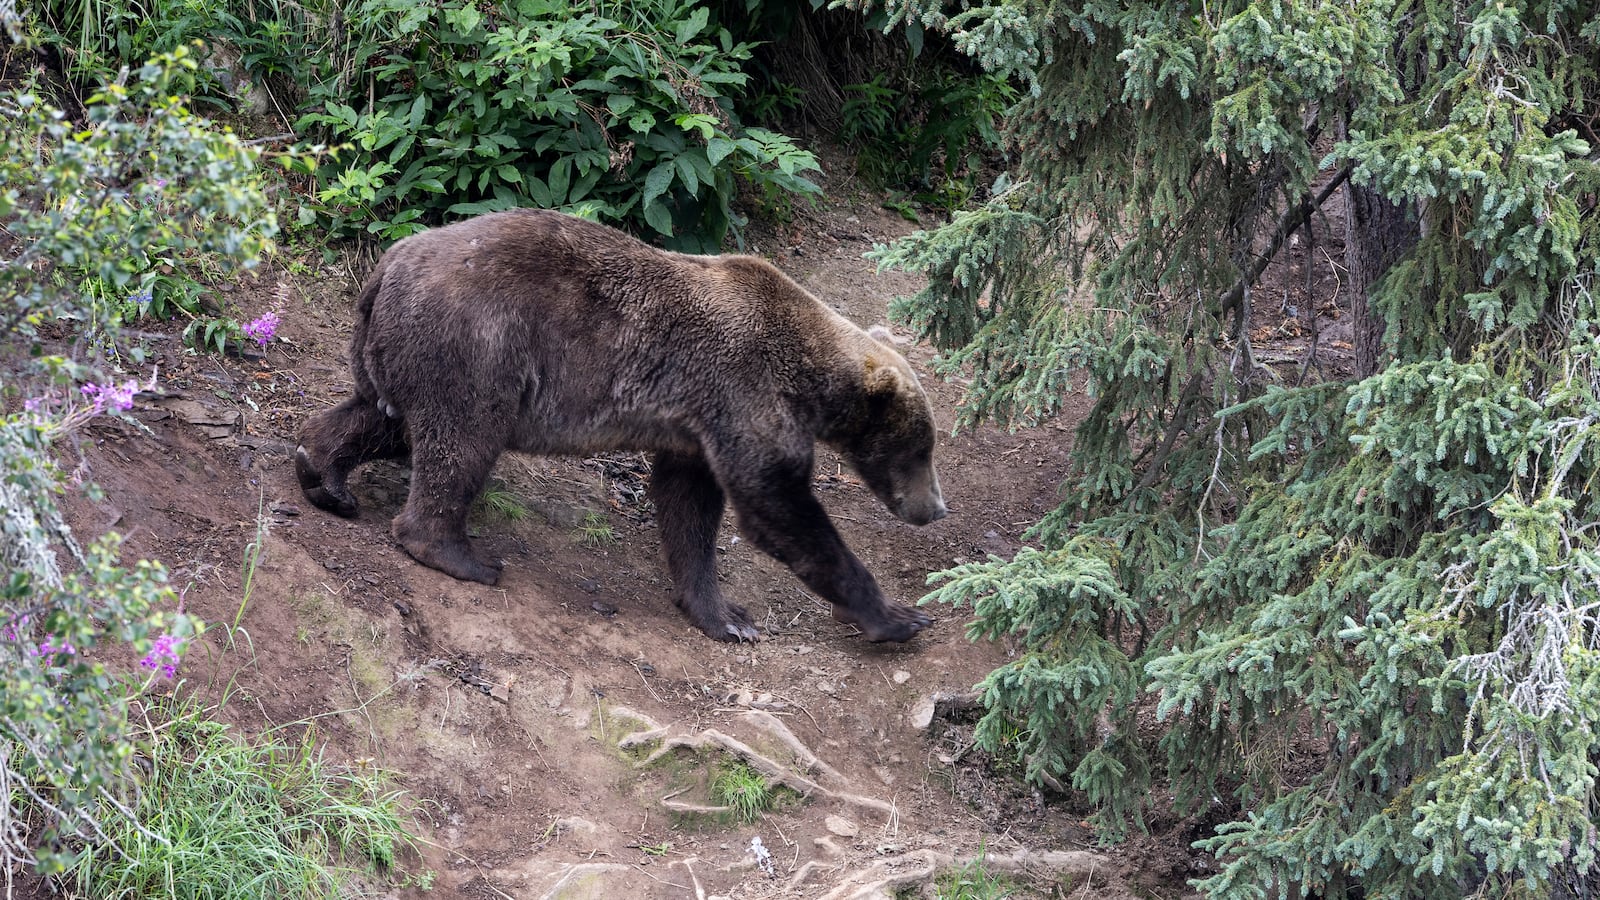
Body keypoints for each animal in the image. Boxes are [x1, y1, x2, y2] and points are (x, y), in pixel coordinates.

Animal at [294, 209, 946, 643]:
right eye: (922, 447)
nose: (935, 508)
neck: (810, 375)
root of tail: (387, 263)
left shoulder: (698, 425)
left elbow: (689, 507)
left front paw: (722, 614)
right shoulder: (746, 394)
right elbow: (777, 506)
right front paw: (898, 616)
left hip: (400, 347)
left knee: (386, 416)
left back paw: (321, 473)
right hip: (479, 343)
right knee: (462, 442)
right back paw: (463, 556)